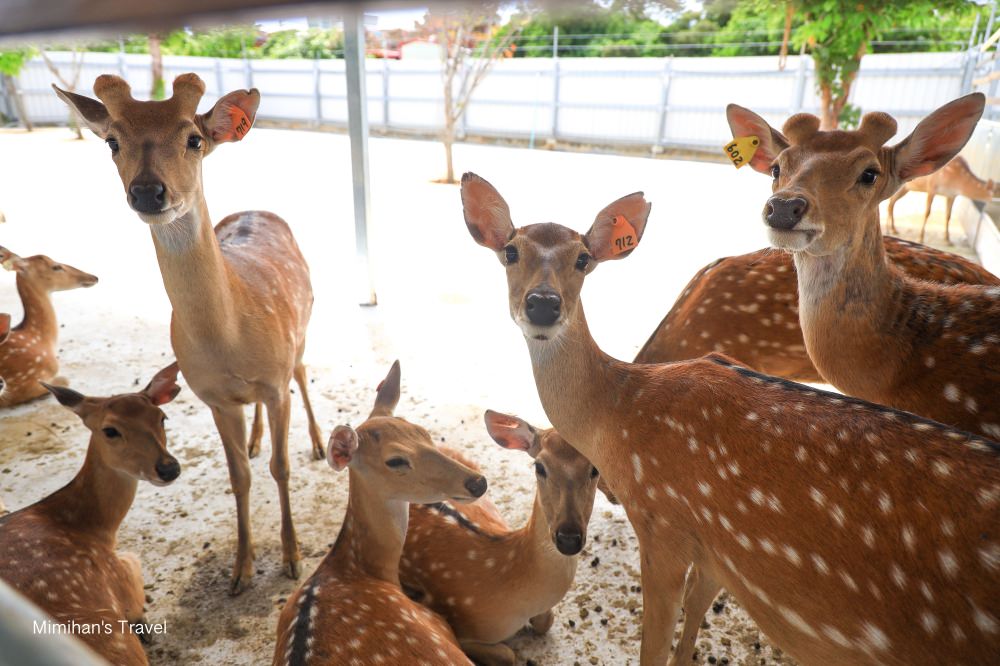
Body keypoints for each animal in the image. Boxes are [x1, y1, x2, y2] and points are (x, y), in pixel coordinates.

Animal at [0, 364, 182, 666]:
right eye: (110, 430)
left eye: (162, 418)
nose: (169, 468)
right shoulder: (120, 574)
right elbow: (134, 564)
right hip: (115, 639)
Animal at [55, 73, 326, 594]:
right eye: (112, 142)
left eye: (194, 139)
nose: (147, 192)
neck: (229, 340)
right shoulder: (212, 396)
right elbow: (239, 476)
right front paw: (240, 570)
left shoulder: (274, 375)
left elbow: (280, 468)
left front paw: (292, 557)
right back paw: (256, 438)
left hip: (302, 327)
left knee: (302, 375)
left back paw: (320, 444)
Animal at [399, 409, 600, 665]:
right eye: (539, 467)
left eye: (595, 469)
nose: (568, 538)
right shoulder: (463, 626)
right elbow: (507, 654)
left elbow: (546, 622)